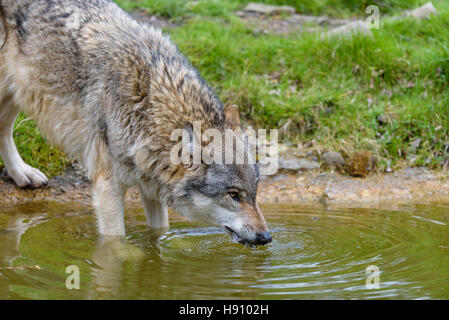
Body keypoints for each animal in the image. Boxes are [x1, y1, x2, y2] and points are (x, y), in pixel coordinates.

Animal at [0, 0, 272, 245]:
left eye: (254, 194)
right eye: (233, 195)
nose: (266, 237)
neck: (147, 104)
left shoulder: (151, 186)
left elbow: (159, 232)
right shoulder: (108, 187)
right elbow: (115, 245)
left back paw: (22, 174)